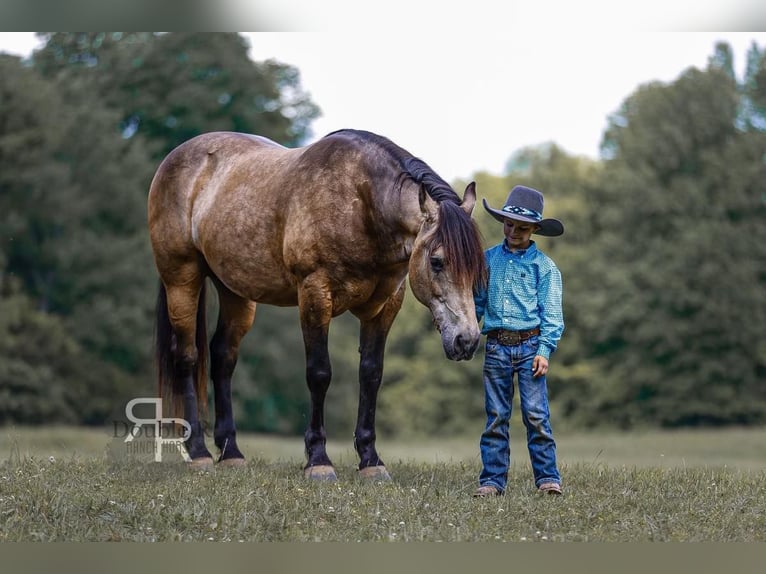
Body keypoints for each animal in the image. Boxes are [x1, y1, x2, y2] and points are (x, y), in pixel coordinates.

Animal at [147, 129, 488, 482]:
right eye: (437, 262)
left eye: (479, 268)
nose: (467, 340)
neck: (360, 203)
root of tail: (177, 156)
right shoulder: (314, 295)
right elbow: (319, 373)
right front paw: (318, 460)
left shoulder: (385, 305)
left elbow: (371, 374)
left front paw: (371, 461)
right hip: (182, 279)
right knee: (187, 357)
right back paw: (199, 452)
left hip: (234, 292)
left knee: (223, 357)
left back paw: (231, 454)